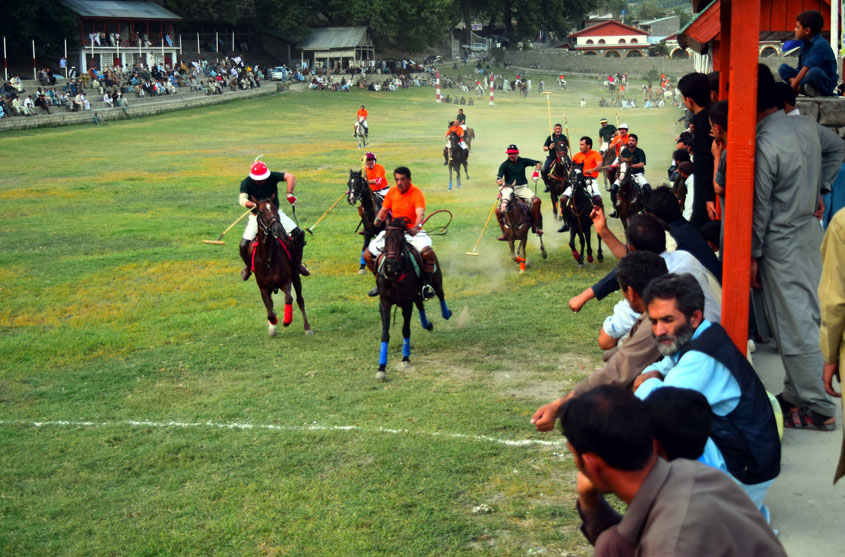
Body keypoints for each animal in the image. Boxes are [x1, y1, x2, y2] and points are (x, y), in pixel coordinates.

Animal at [254, 201, 314, 336]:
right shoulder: (263, 289)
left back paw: (307, 327)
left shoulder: (285, 281)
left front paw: (286, 321)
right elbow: (270, 311)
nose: (278, 229)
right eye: (261, 212)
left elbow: (289, 299)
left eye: (275, 209)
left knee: (300, 300)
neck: (269, 259)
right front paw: (273, 324)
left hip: (295, 277)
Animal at [376, 217, 452, 382]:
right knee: (420, 303)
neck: (395, 278)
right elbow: (385, 334)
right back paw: (427, 324)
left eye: (401, 240)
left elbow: (405, 330)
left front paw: (405, 359)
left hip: (436, 279)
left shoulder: (406, 303)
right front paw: (381, 368)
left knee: (440, 294)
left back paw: (446, 313)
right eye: (386, 239)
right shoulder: (384, 303)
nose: (391, 265)